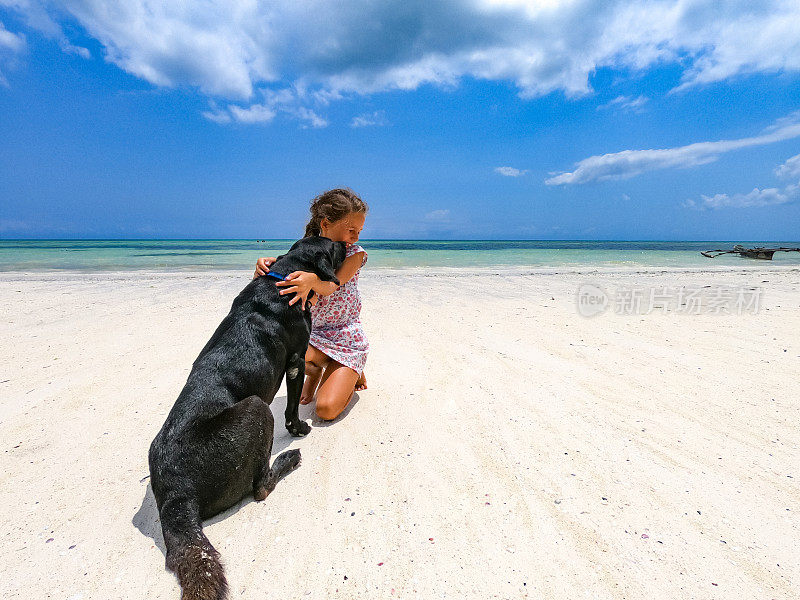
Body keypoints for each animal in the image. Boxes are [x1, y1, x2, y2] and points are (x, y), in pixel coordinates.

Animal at [149, 236, 346, 600]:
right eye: (334, 247)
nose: (348, 243)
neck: (282, 275)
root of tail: (175, 495)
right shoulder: (296, 359)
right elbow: (292, 406)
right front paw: (298, 429)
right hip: (256, 408)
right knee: (261, 489)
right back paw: (288, 459)